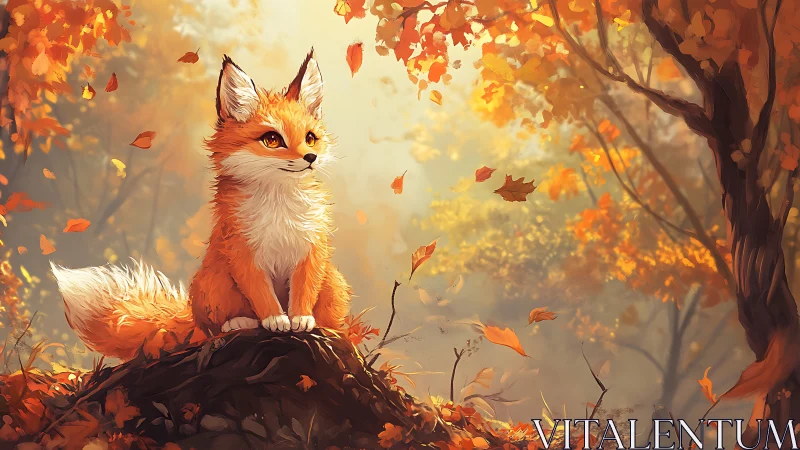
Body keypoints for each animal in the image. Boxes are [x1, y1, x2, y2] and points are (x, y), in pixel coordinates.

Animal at [50, 49, 352, 360]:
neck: (278, 206)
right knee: (214, 326)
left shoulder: (310, 249)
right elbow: (261, 295)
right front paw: (275, 319)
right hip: (212, 281)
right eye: (272, 139)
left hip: (334, 282)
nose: (310, 158)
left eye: (310, 138)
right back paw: (240, 322)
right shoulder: (242, 253)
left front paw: (300, 318)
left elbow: (304, 291)